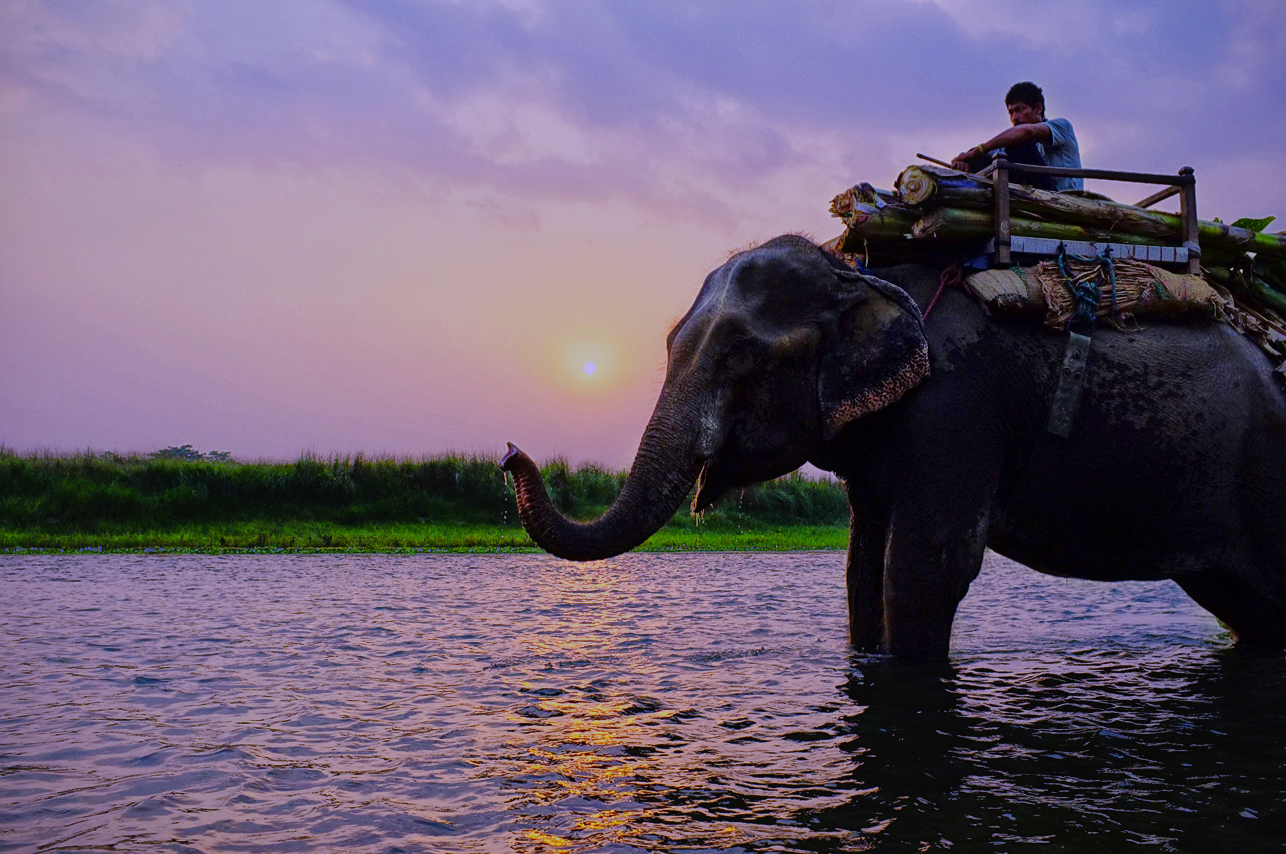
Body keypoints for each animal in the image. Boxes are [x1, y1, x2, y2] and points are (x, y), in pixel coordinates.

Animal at [498, 236, 1286, 655]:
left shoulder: (957, 409)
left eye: (743, 357)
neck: (857, 274)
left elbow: (926, 565)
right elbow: (862, 565)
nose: (510, 452)